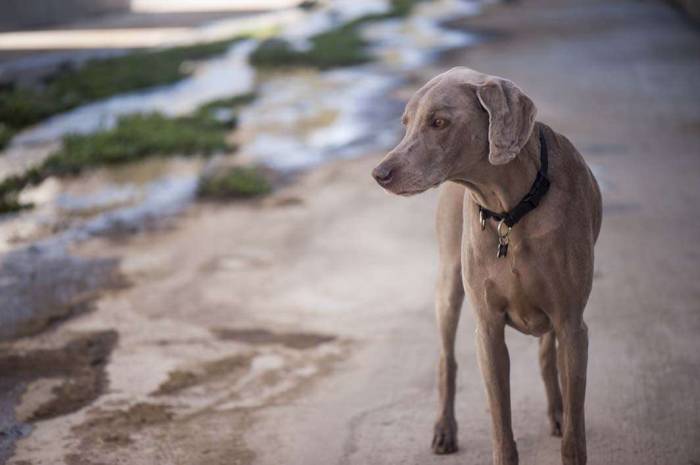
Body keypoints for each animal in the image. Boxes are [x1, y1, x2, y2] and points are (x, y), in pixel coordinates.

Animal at [372, 66, 600, 464]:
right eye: (405, 123)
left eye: (439, 122)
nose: (379, 173)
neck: (511, 209)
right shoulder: (488, 330)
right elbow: (500, 420)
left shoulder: (572, 324)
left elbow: (575, 429)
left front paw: (566, 425)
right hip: (449, 284)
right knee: (446, 359)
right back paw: (444, 429)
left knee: (547, 356)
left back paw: (555, 411)